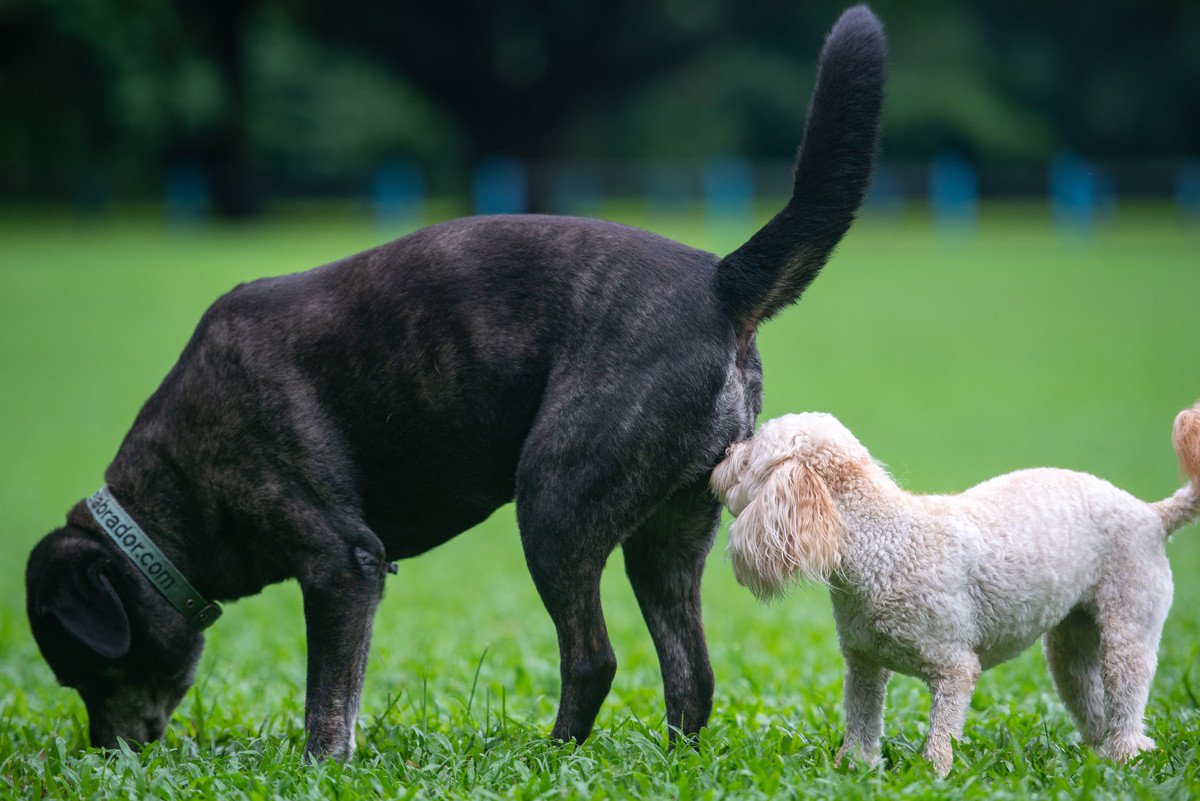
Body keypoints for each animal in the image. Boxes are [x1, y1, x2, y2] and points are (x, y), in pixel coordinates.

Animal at [23, 6, 888, 757]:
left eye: (82, 670)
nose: (105, 750)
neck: (169, 493)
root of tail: (720, 281)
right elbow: (347, 685)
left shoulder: (339, 563)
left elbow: (325, 698)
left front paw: (322, 765)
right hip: (667, 533)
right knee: (692, 673)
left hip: (555, 503)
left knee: (593, 656)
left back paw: (554, 751)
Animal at [710, 402, 1200, 772]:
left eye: (749, 454)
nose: (720, 457)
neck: (882, 542)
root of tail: (1152, 513)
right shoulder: (864, 664)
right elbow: (862, 722)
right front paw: (854, 770)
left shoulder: (955, 669)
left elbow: (942, 734)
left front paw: (934, 775)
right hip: (1070, 645)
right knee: (1089, 700)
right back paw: (1100, 760)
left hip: (1129, 625)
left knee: (1128, 697)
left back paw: (1127, 758)